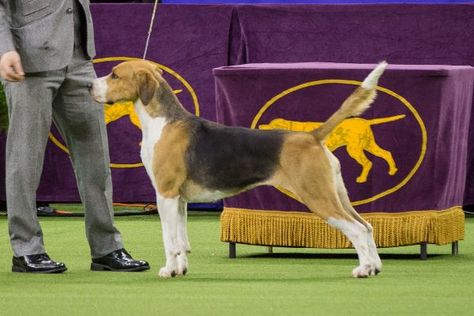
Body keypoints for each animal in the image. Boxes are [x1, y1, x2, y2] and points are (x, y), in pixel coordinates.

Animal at [90, 60, 386, 278]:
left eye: (115, 75)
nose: (90, 85)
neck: (163, 121)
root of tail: (312, 136)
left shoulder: (166, 194)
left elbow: (169, 240)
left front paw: (168, 270)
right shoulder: (180, 200)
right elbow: (182, 242)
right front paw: (181, 269)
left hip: (318, 197)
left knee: (357, 230)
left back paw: (363, 269)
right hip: (336, 194)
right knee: (367, 226)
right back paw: (374, 267)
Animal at [258, 114, 406, 183]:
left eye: (271, 125)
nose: (260, 126)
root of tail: (365, 121)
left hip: (354, 149)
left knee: (368, 163)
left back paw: (362, 178)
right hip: (368, 145)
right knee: (386, 153)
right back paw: (392, 170)